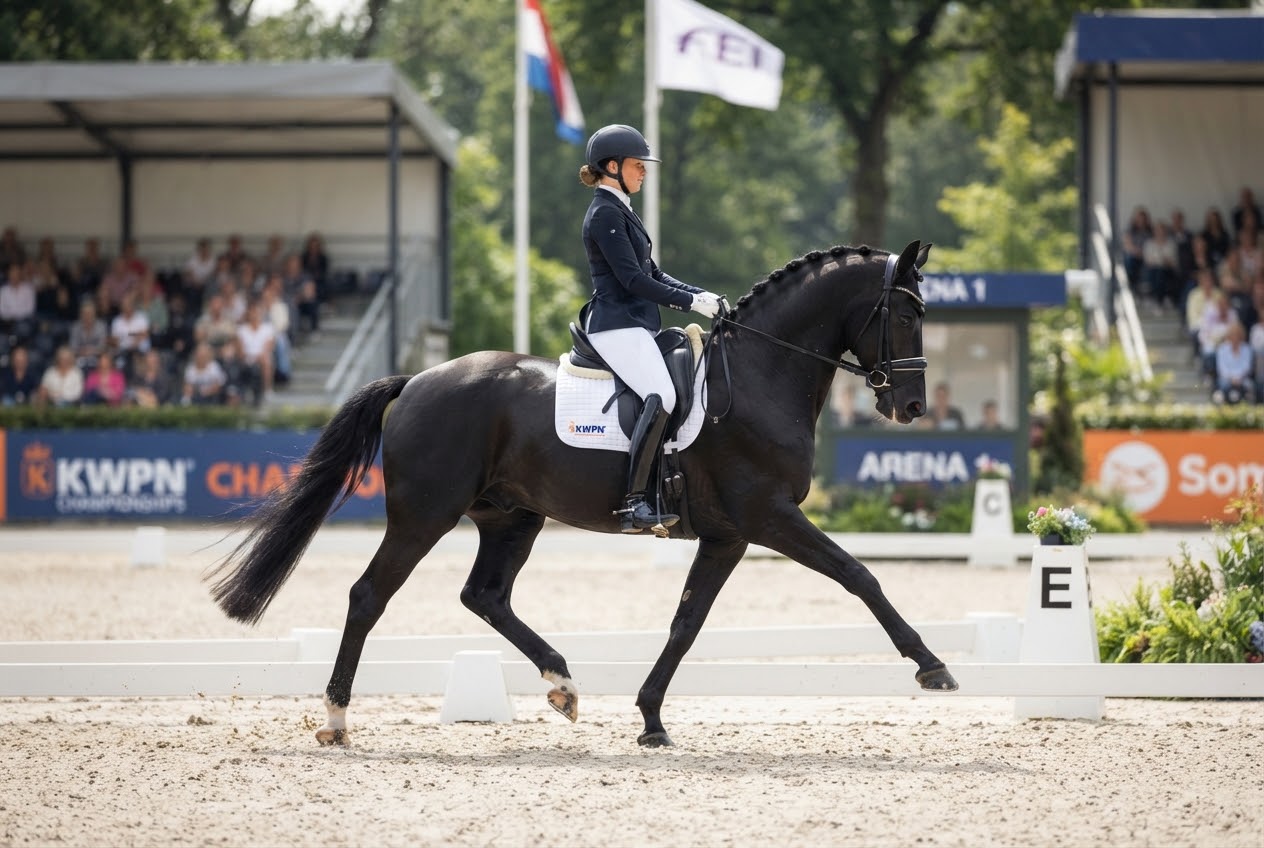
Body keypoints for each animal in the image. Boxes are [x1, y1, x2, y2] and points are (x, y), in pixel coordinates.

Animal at [206, 239, 959, 748]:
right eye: (906, 314)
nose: (913, 407)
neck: (760, 375)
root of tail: (417, 379)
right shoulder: (768, 517)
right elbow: (859, 575)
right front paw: (932, 668)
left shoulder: (728, 534)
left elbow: (687, 622)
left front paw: (651, 718)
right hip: (424, 515)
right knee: (369, 596)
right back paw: (336, 718)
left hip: (512, 518)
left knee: (485, 596)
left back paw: (562, 685)